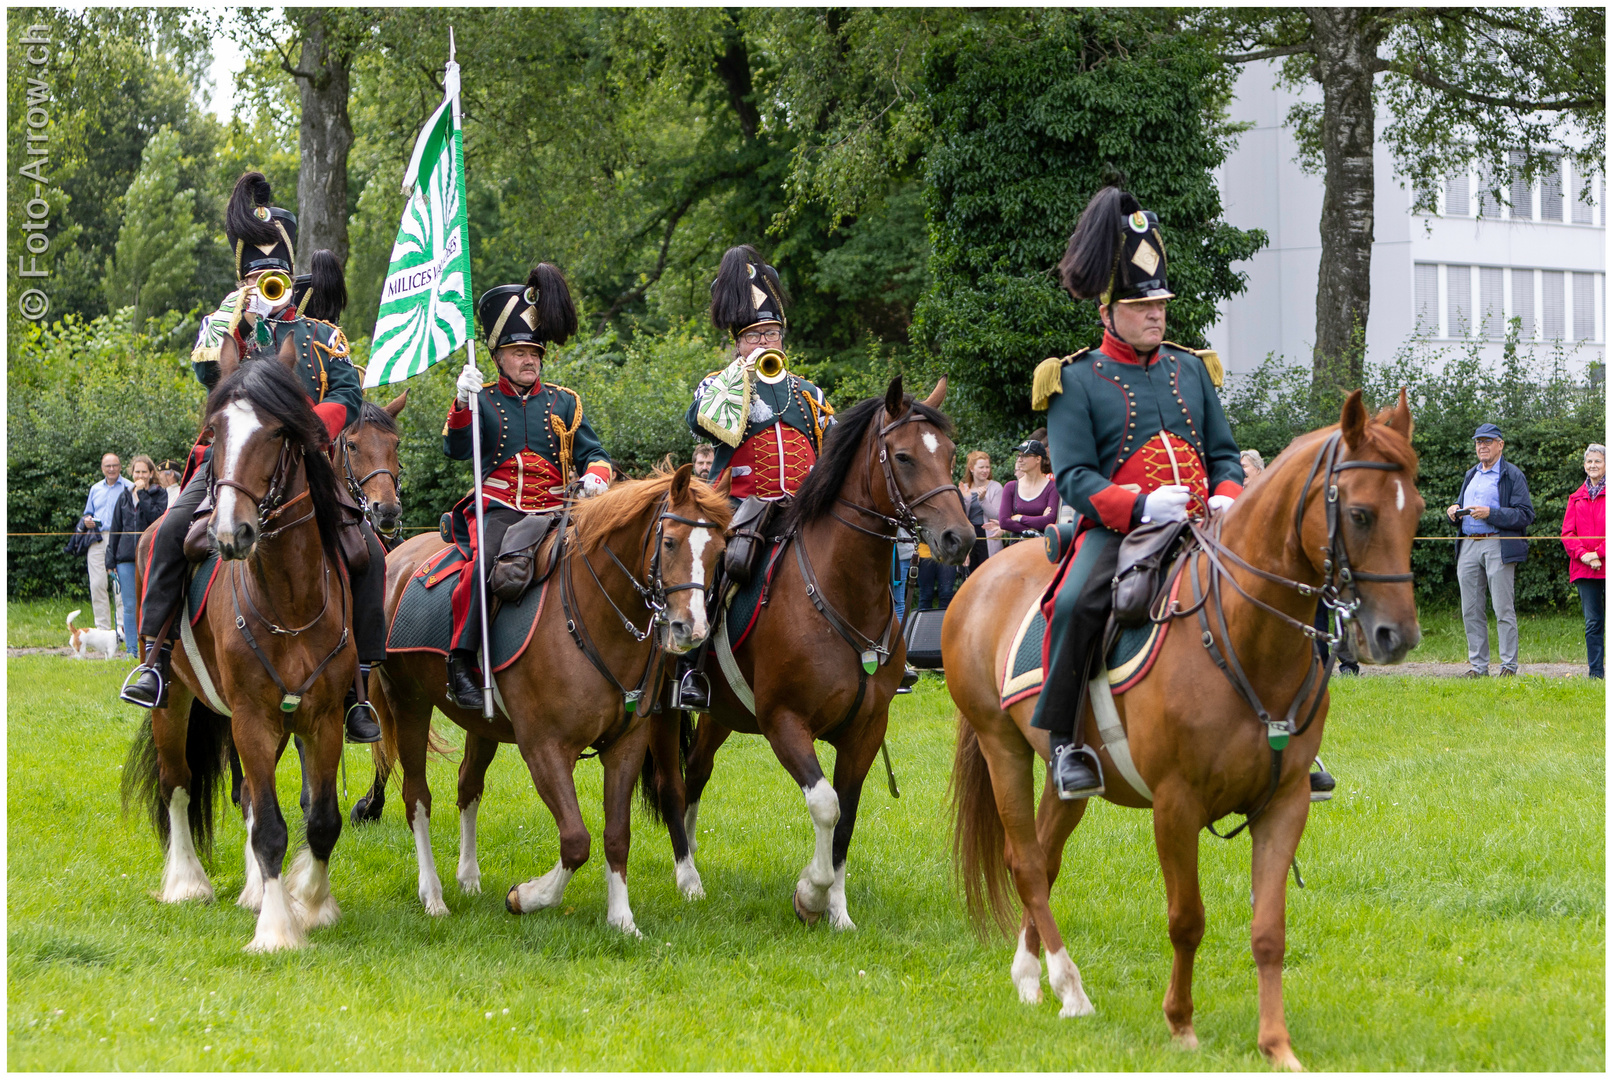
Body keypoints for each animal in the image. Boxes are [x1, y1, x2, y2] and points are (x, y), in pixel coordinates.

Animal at [124, 354, 358, 954]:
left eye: (277, 432)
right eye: (215, 433)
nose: (230, 532)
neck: (290, 600)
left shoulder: (322, 719)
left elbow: (321, 820)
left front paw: (312, 904)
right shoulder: (252, 717)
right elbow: (272, 829)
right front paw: (277, 930)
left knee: (251, 795)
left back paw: (253, 891)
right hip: (173, 702)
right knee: (178, 784)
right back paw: (187, 883)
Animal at [362, 461, 729, 934]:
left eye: (719, 551)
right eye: (669, 542)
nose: (692, 629)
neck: (592, 618)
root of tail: (397, 557)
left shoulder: (626, 747)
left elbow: (616, 835)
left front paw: (622, 919)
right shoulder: (545, 749)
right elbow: (576, 839)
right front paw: (528, 896)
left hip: (482, 725)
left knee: (467, 785)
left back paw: (468, 877)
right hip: (408, 704)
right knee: (417, 797)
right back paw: (434, 896)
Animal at [658, 378, 980, 928]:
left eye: (951, 454)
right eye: (903, 456)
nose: (959, 538)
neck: (839, 590)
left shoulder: (866, 730)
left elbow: (846, 816)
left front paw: (838, 911)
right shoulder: (784, 723)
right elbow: (826, 804)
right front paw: (810, 893)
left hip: (720, 712)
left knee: (697, 771)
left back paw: (693, 857)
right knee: (671, 781)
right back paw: (685, 877)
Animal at [941, 393, 1425, 1070]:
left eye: (1419, 513)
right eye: (1359, 514)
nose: (1395, 636)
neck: (1243, 638)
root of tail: (978, 579)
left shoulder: (1285, 803)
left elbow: (1269, 930)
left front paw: (1277, 1045)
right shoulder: (1175, 806)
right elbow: (1187, 919)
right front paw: (1181, 1025)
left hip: (1069, 780)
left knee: (1045, 855)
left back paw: (1030, 976)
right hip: (1001, 746)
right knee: (1028, 864)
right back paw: (1069, 987)